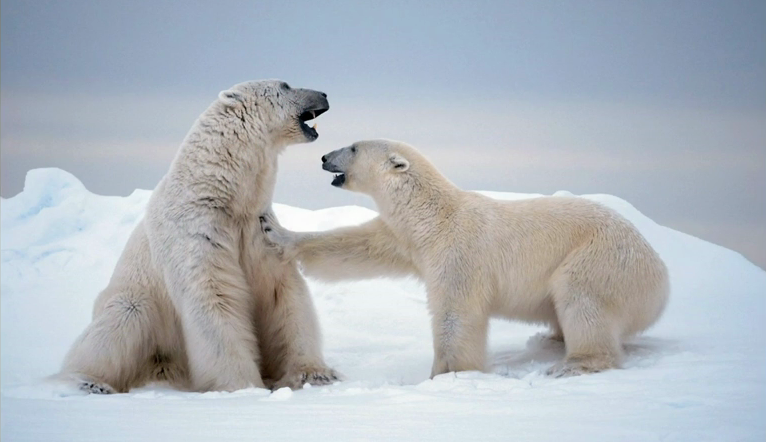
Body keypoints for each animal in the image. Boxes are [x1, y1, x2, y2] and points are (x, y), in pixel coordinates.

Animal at [57, 79, 340, 394]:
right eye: (286, 85)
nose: (325, 93)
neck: (220, 195)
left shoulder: (257, 231)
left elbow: (282, 293)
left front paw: (314, 374)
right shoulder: (196, 232)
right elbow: (214, 297)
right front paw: (242, 385)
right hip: (135, 299)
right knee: (118, 324)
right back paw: (89, 382)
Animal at [264, 140, 672, 378]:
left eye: (352, 147)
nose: (323, 157)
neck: (435, 216)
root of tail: (662, 280)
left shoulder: (459, 252)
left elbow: (456, 313)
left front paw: (447, 373)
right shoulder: (407, 241)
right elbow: (358, 246)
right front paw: (275, 230)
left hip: (603, 257)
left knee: (580, 295)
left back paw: (575, 363)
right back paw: (552, 339)